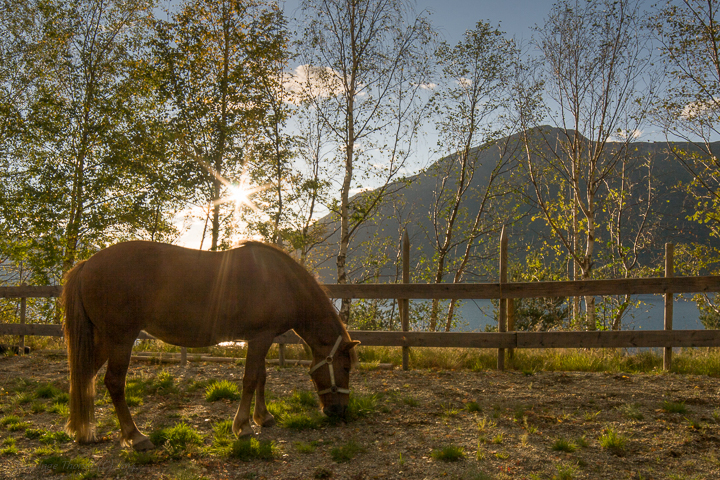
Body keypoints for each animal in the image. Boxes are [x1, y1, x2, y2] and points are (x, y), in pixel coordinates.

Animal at [60, 242, 358, 452]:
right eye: (345, 367)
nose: (340, 412)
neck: (282, 281)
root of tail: (87, 264)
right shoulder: (260, 338)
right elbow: (250, 379)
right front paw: (243, 427)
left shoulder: (261, 339)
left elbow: (262, 377)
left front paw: (263, 417)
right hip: (120, 340)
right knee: (113, 382)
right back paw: (135, 437)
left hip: (104, 340)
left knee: (84, 375)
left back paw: (83, 432)